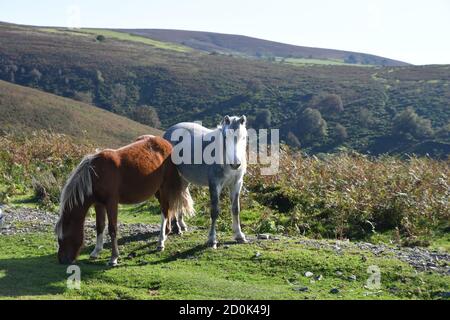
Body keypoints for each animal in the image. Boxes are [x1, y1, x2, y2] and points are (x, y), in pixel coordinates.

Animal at [54, 134, 193, 264]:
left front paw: (114, 257)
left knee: (164, 212)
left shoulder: (111, 203)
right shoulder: (99, 203)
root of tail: (167, 144)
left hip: (165, 188)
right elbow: (100, 226)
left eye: (65, 237)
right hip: (158, 191)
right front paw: (96, 251)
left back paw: (160, 242)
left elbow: (112, 229)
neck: (96, 174)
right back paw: (166, 234)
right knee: (168, 210)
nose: (62, 260)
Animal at [165, 116, 248, 249]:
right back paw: (176, 228)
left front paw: (239, 235)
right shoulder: (214, 184)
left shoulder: (236, 184)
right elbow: (214, 211)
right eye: (226, 137)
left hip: (183, 179)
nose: (235, 164)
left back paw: (181, 224)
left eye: (243, 137)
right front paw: (212, 240)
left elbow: (236, 209)